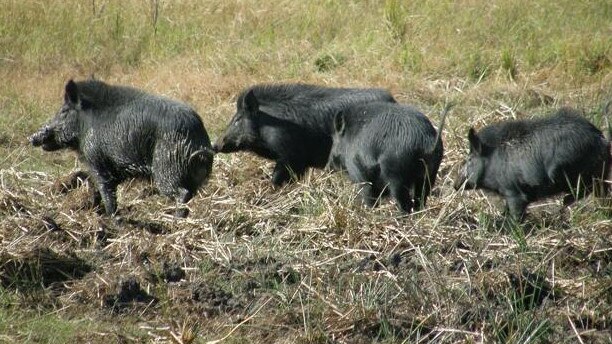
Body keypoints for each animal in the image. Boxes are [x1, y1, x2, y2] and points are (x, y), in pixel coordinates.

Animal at [29, 80, 214, 218]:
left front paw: (112, 218)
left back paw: (175, 220)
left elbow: (106, 190)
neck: (84, 125)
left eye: (64, 111)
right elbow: (98, 190)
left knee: (182, 193)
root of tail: (198, 139)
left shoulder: (97, 159)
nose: (31, 138)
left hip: (167, 168)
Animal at [452, 107, 608, 220]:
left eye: (469, 159)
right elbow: (506, 210)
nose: (455, 185)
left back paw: (564, 203)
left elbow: (516, 213)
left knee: (583, 189)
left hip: (567, 171)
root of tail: (599, 138)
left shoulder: (513, 191)